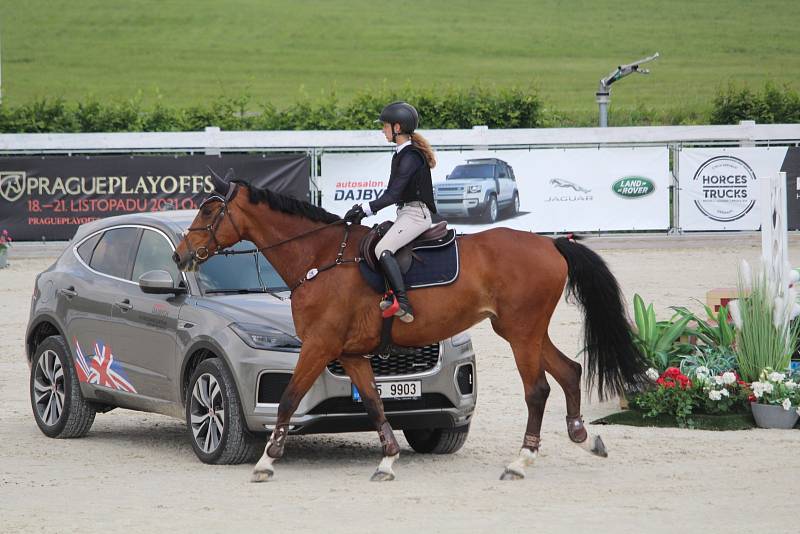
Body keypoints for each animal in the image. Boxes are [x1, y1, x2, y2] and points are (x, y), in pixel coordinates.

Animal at [172, 176, 648, 486]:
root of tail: (549, 242)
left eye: (210, 211)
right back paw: (584, 439)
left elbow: (288, 398)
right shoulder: (350, 353)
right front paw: (387, 461)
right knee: (568, 372)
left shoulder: (318, 345)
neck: (321, 258)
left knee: (538, 390)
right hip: (520, 330)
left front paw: (266, 463)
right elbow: (375, 403)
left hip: (521, 332)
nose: (180, 255)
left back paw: (520, 461)